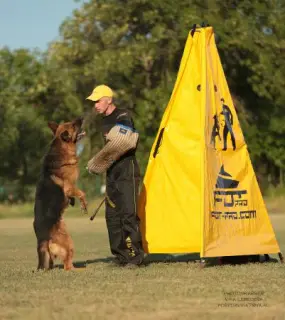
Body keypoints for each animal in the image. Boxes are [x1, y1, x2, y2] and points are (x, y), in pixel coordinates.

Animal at [33, 117, 86, 270]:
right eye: (73, 125)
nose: (81, 118)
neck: (62, 147)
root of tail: (43, 240)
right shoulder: (69, 186)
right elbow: (81, 193)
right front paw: (83, 205)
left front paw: (73, 202)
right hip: (69, 243)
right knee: (67, 266)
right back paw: (79, 269)